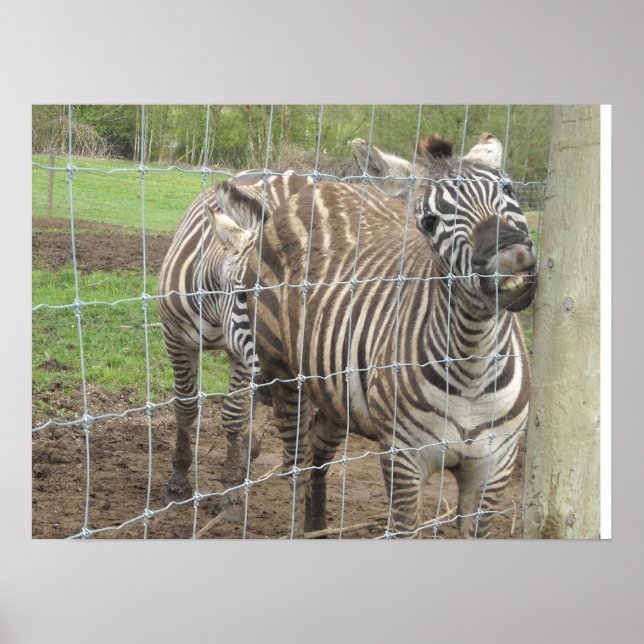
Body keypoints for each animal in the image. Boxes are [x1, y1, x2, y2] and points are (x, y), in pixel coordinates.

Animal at [212, 133, 537, 538]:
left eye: (507, 188)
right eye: (429, 222)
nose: (510, 259)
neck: (472, 361)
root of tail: (317, 190)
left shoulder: (494, 468)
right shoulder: (404, 461)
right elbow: (402, 527)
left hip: (335, 388)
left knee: (318, 453)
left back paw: (317, 525)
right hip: (287, 378)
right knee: (297, 466)